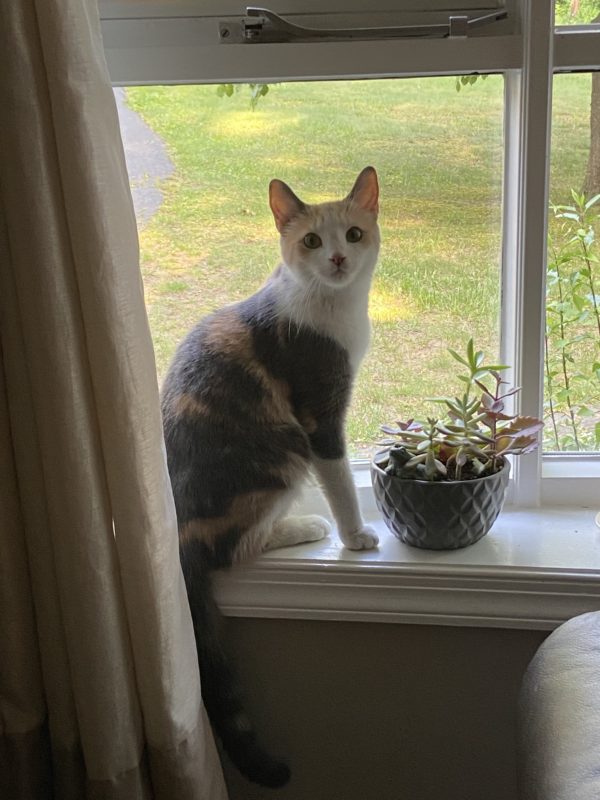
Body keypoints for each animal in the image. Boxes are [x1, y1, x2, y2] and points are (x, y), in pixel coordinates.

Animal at [161, 164, 380, 788]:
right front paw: (356, 535)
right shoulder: (318, 410)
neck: (335, 309)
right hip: (281, 451)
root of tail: (177, 538)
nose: (337, 257)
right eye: (310, 241)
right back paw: (305, 527)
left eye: (353, 234)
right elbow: (338, 476)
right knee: (236, 544)